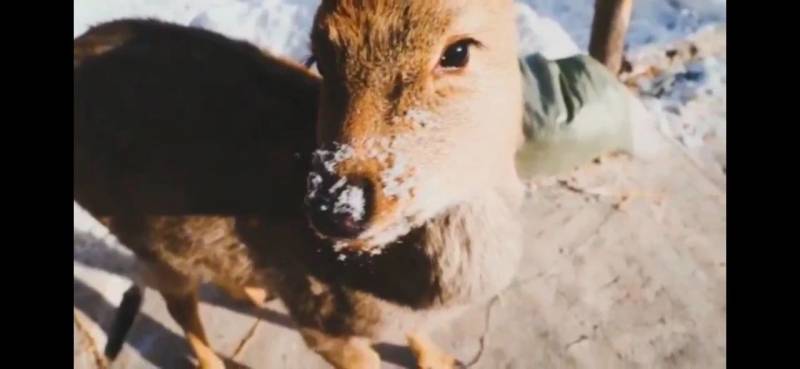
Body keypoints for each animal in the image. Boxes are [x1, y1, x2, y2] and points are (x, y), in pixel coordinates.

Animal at [73, 0, 524, 366]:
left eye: (458, 50)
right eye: (318, 59)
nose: (337, 208)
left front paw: (443, 360)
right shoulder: (316, 315)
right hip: (140, 232)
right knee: (177, 300)